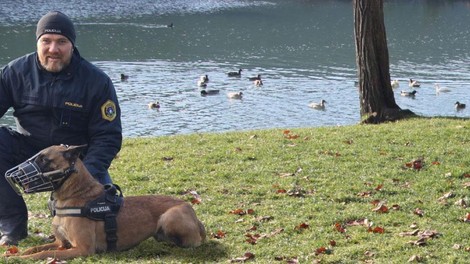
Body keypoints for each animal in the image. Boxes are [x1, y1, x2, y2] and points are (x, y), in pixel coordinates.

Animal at [4, 144, 206, 260]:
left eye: (44, 159)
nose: (14, 175)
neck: (73, 194)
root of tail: (193, 213)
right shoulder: (61, 243)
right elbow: (39, 247)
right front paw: (20, 253)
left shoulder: (82, 249)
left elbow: (45, 253)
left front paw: (19, 259)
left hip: (170, 217)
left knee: (192, 243)